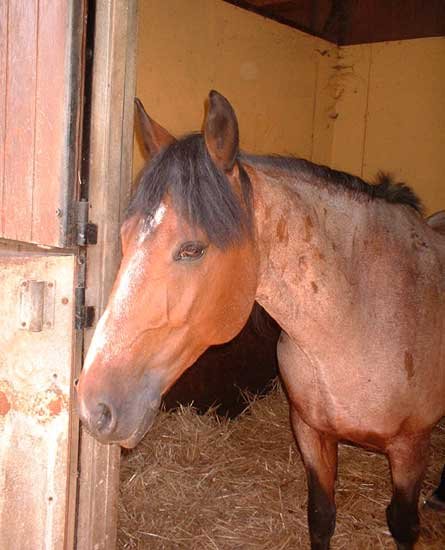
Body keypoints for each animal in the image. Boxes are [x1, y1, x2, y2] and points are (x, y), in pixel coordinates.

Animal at [77, 91, 444, 550]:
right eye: (124, 238)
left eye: (192, 249)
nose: (93, 406)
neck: (358, 322)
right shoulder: (310, 431)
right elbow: (321, 516)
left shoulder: (412, 448)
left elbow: (402, 524)